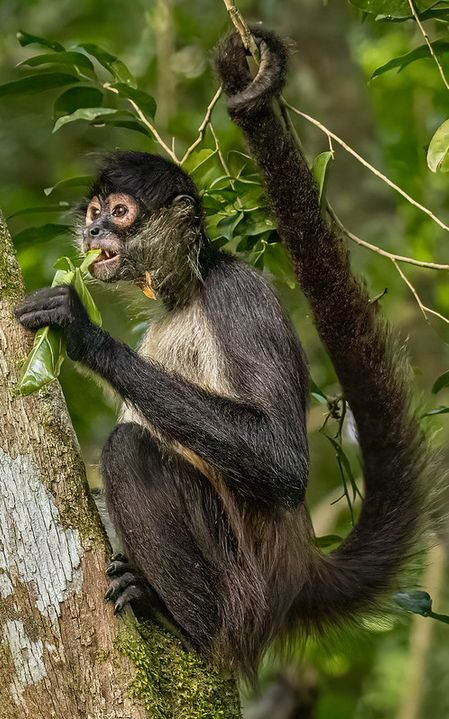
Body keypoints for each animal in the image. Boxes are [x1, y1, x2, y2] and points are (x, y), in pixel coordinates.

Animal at [15, 28, 431, 679]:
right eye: (94, 213)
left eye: (121, 212)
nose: (96, 235)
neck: (191, 287)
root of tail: (294, 573)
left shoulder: (240, 297)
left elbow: (281, 459)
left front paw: (81, 332)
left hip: (239, 591)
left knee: (130, 448)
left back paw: (179, 620)